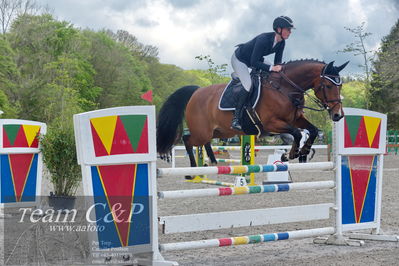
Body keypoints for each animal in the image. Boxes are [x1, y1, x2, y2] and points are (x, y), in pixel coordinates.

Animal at [158, 59, 348, 168]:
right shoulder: (272, 123)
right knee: (187, 140)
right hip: (202, 131)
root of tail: (196, 92)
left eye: (340, 86)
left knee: (205, 143)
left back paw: (211, 162)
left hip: (218, 131)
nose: (338, 115)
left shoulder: (296, 119)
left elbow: (312, 130)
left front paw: (303, 151)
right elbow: (296, 133)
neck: (284, 89)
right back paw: (194, 165)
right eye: (328, 86)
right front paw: (290, 154)